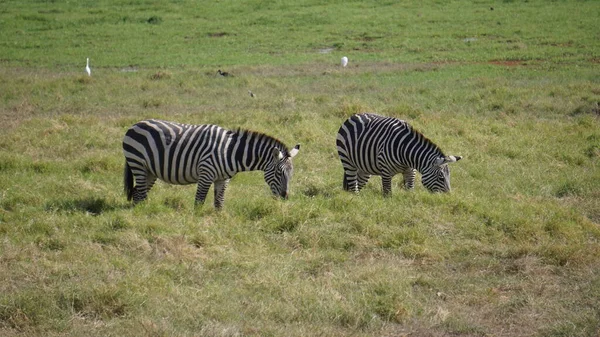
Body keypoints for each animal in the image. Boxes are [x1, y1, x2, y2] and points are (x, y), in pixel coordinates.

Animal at [122, 118, 300, 207]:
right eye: (278, 173)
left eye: (291, 174)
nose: (285, 197)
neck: (230, 152)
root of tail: (135, 124)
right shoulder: (206, 174)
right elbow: (199, 202)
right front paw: (197, 224)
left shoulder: (223, 179)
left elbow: (219, 203)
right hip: (137, 163)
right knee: (140, 194)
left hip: (150, 170)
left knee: (138, 194)